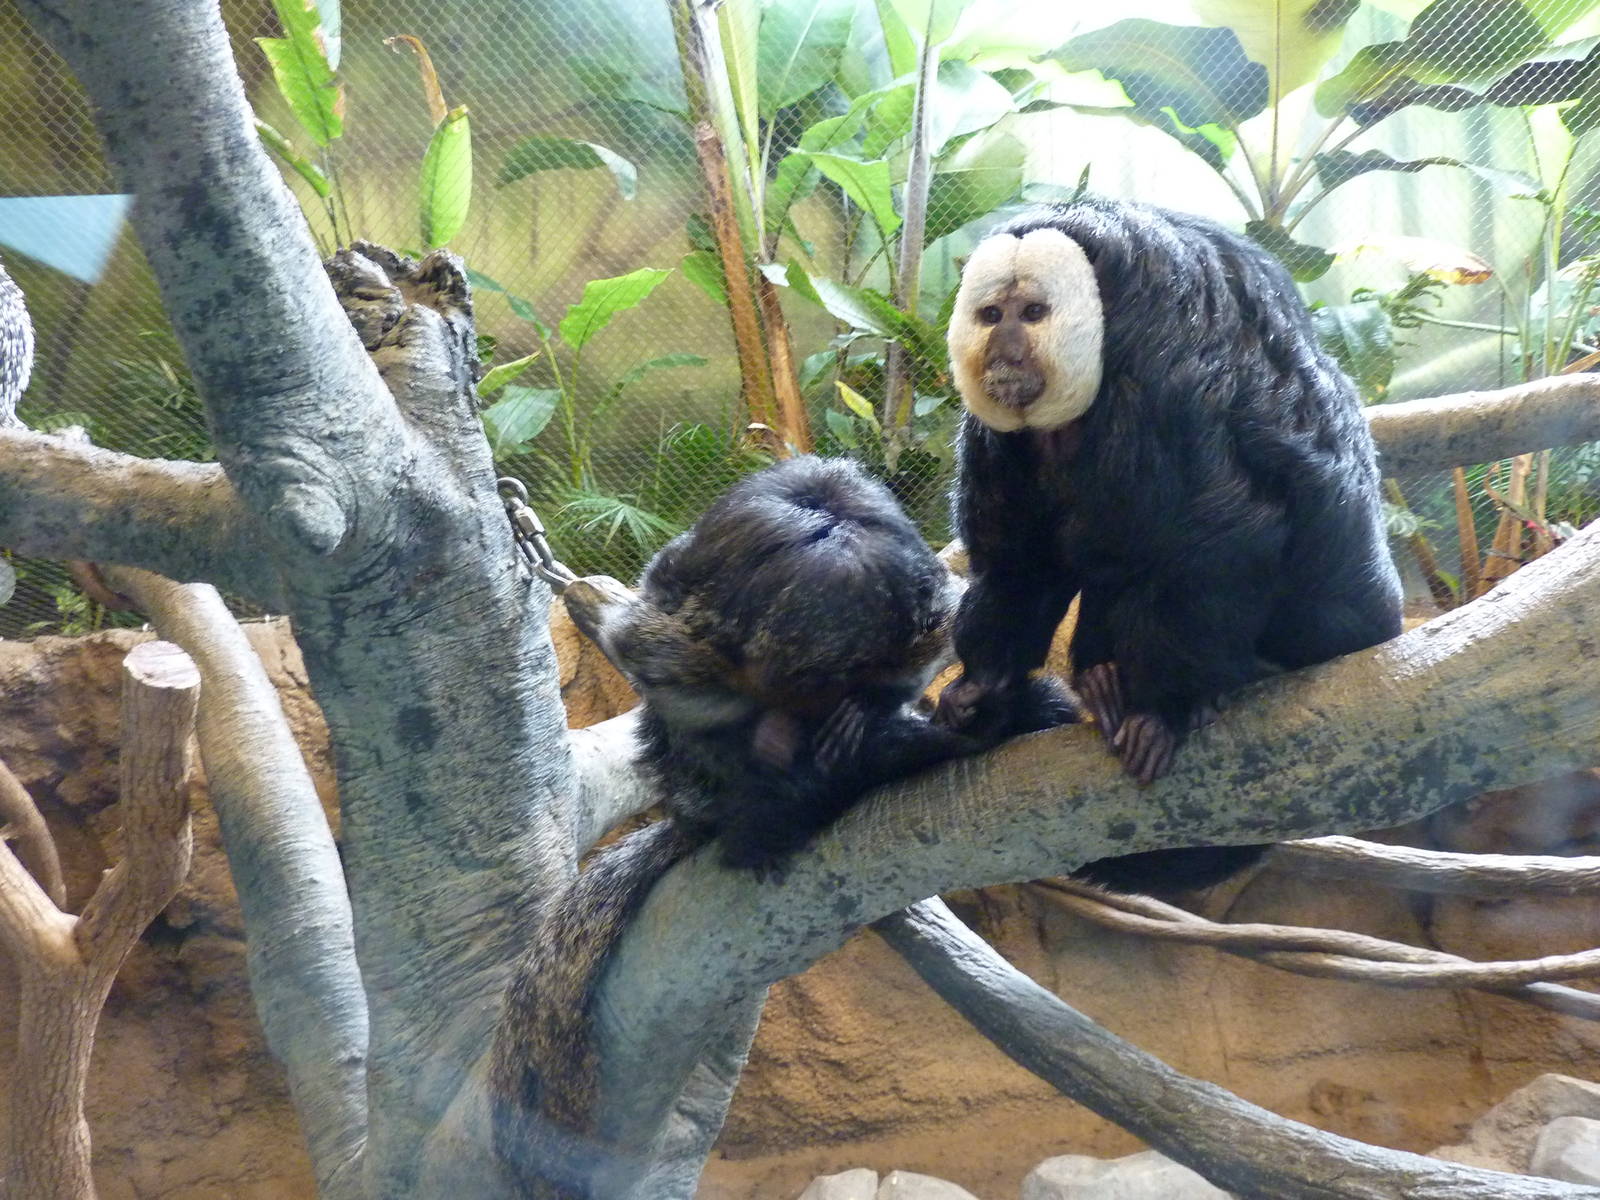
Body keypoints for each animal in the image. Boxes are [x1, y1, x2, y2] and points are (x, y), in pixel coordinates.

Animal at [491, 454, 1074, 1197]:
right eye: (814, 680)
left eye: (856, 675)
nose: (826, 703)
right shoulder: (705, 618)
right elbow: (648, 646)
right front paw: (781, 749)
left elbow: (941, 626)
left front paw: (868, 713)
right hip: (694, 784)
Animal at [935, 197, 1404, 887]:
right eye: (992, 315)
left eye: (1034, 314)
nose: (1006, 348)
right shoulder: (997, 434)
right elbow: (1024, 564)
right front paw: (984, 688)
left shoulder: (1166, 362)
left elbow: (1222, 533)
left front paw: (1166, 710)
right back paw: (1102, 680)